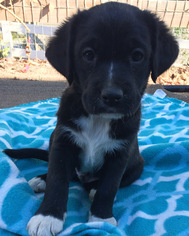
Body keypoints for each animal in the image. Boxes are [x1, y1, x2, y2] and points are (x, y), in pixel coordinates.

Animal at [4, 2, 179, 236]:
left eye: (137, 56)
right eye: (88, 54)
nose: (112, 95)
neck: (99, 120)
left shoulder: (121, 153)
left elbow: (109, 187)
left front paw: (100, 218)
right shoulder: (62, 141)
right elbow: (57, 178)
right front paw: (47, 216)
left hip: (137, 164)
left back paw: (93, 189)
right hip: (53, 136)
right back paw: (41, 179)